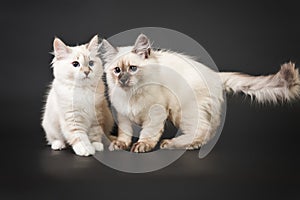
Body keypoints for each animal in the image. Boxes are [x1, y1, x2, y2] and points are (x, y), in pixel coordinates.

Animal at [101, 34, 300, 153]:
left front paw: (142, 145)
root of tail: (214, 74)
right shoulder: (123, 115)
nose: (123, 79)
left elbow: (148, 133)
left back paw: (173, 144)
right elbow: (125, 133)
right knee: (208, 130)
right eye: (117, 70)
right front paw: (120, 144)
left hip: (183, 111)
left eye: (133, 69)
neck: (131, 95)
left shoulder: (156, 114)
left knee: (201, 130)